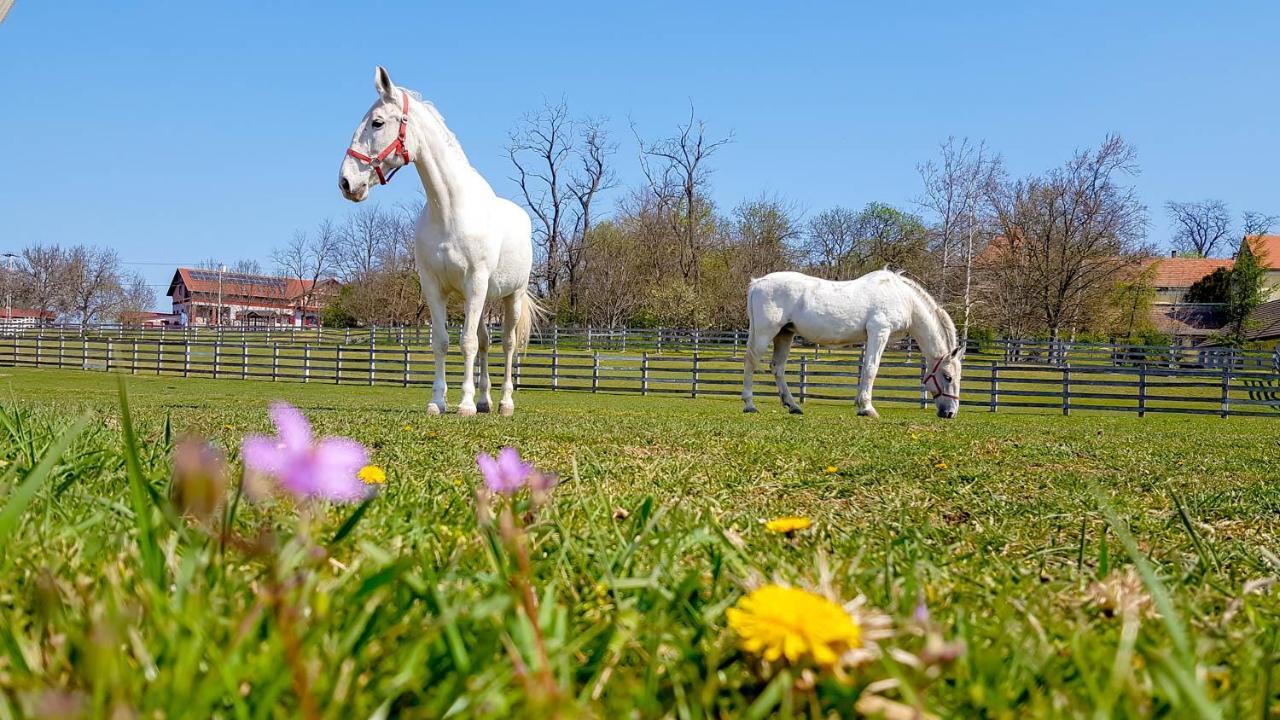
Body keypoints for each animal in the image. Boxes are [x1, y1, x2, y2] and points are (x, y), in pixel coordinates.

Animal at [335, 68, 540, 415]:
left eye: (377, 122)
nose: (347, 182)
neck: (449, 210)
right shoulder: (434, 286)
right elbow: (442, 343)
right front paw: (438, 402)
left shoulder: (475, 283)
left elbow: (466, 343)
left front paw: (465, 404)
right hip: (483, 300)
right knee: (485, 342)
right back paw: (485, 400)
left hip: (510, 295)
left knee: (508, 344)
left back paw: (504, 402)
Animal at [742, 267, 962, 415]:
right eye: (948, 377)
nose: (950, 413)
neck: (903, 298)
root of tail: (757, 283)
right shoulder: (879, 332)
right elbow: (872, 369)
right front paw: (868, 408)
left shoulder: (869, 338)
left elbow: (865, 369)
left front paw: (860, 404)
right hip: (765, 333)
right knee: (750, 362)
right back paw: (750, 405)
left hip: (785, 334)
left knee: (777, 367)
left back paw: (793, 405)